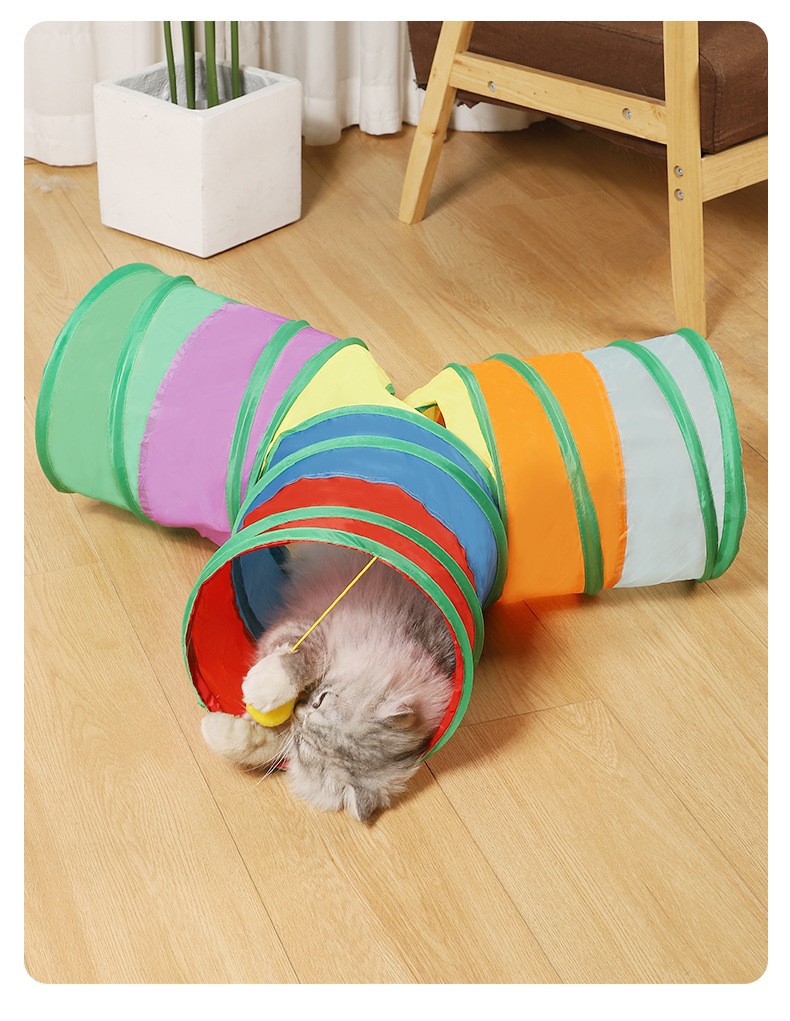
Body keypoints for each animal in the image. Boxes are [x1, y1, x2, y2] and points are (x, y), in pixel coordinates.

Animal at [201, 544, 455, 821]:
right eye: (321, 700)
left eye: (302, 744)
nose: (298, 709)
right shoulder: (315, 626)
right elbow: (302, 660)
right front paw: (263, 687)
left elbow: (264, 744)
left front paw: (216, 727)